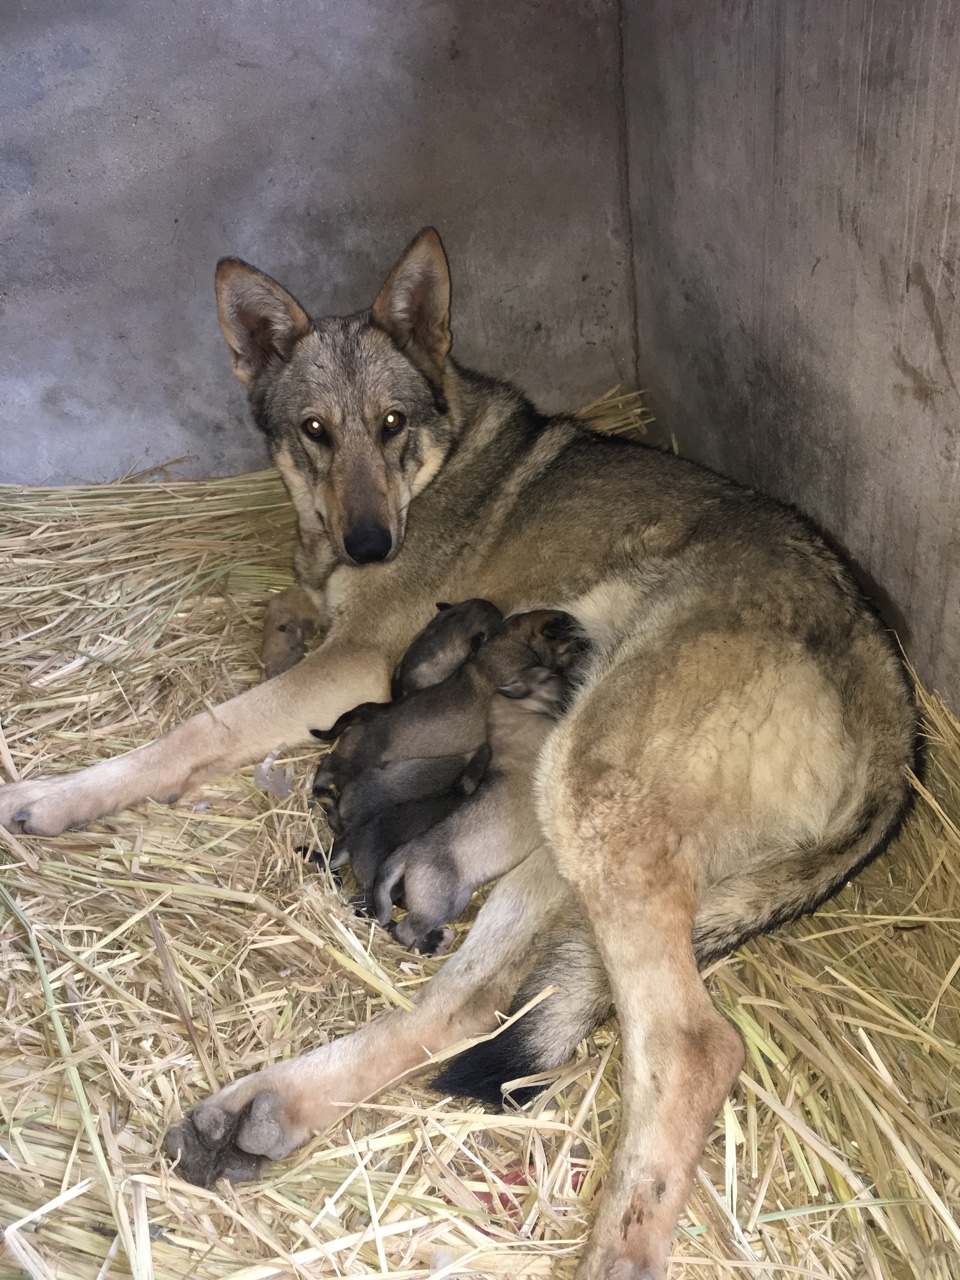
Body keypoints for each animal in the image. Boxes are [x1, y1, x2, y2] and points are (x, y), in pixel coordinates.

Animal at [0, 230, 916, 1280]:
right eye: (315, 430)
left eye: (391, 422)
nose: (369, 543)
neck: (427, 466)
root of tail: (891, 691)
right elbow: (282, 615)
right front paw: (283, 617)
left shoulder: (356, 662)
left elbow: (200, 731)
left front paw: (62, 794)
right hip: (570, 822)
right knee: (474, 1004)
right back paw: (265, 1109)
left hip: (587, 798)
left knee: (688, 1047)